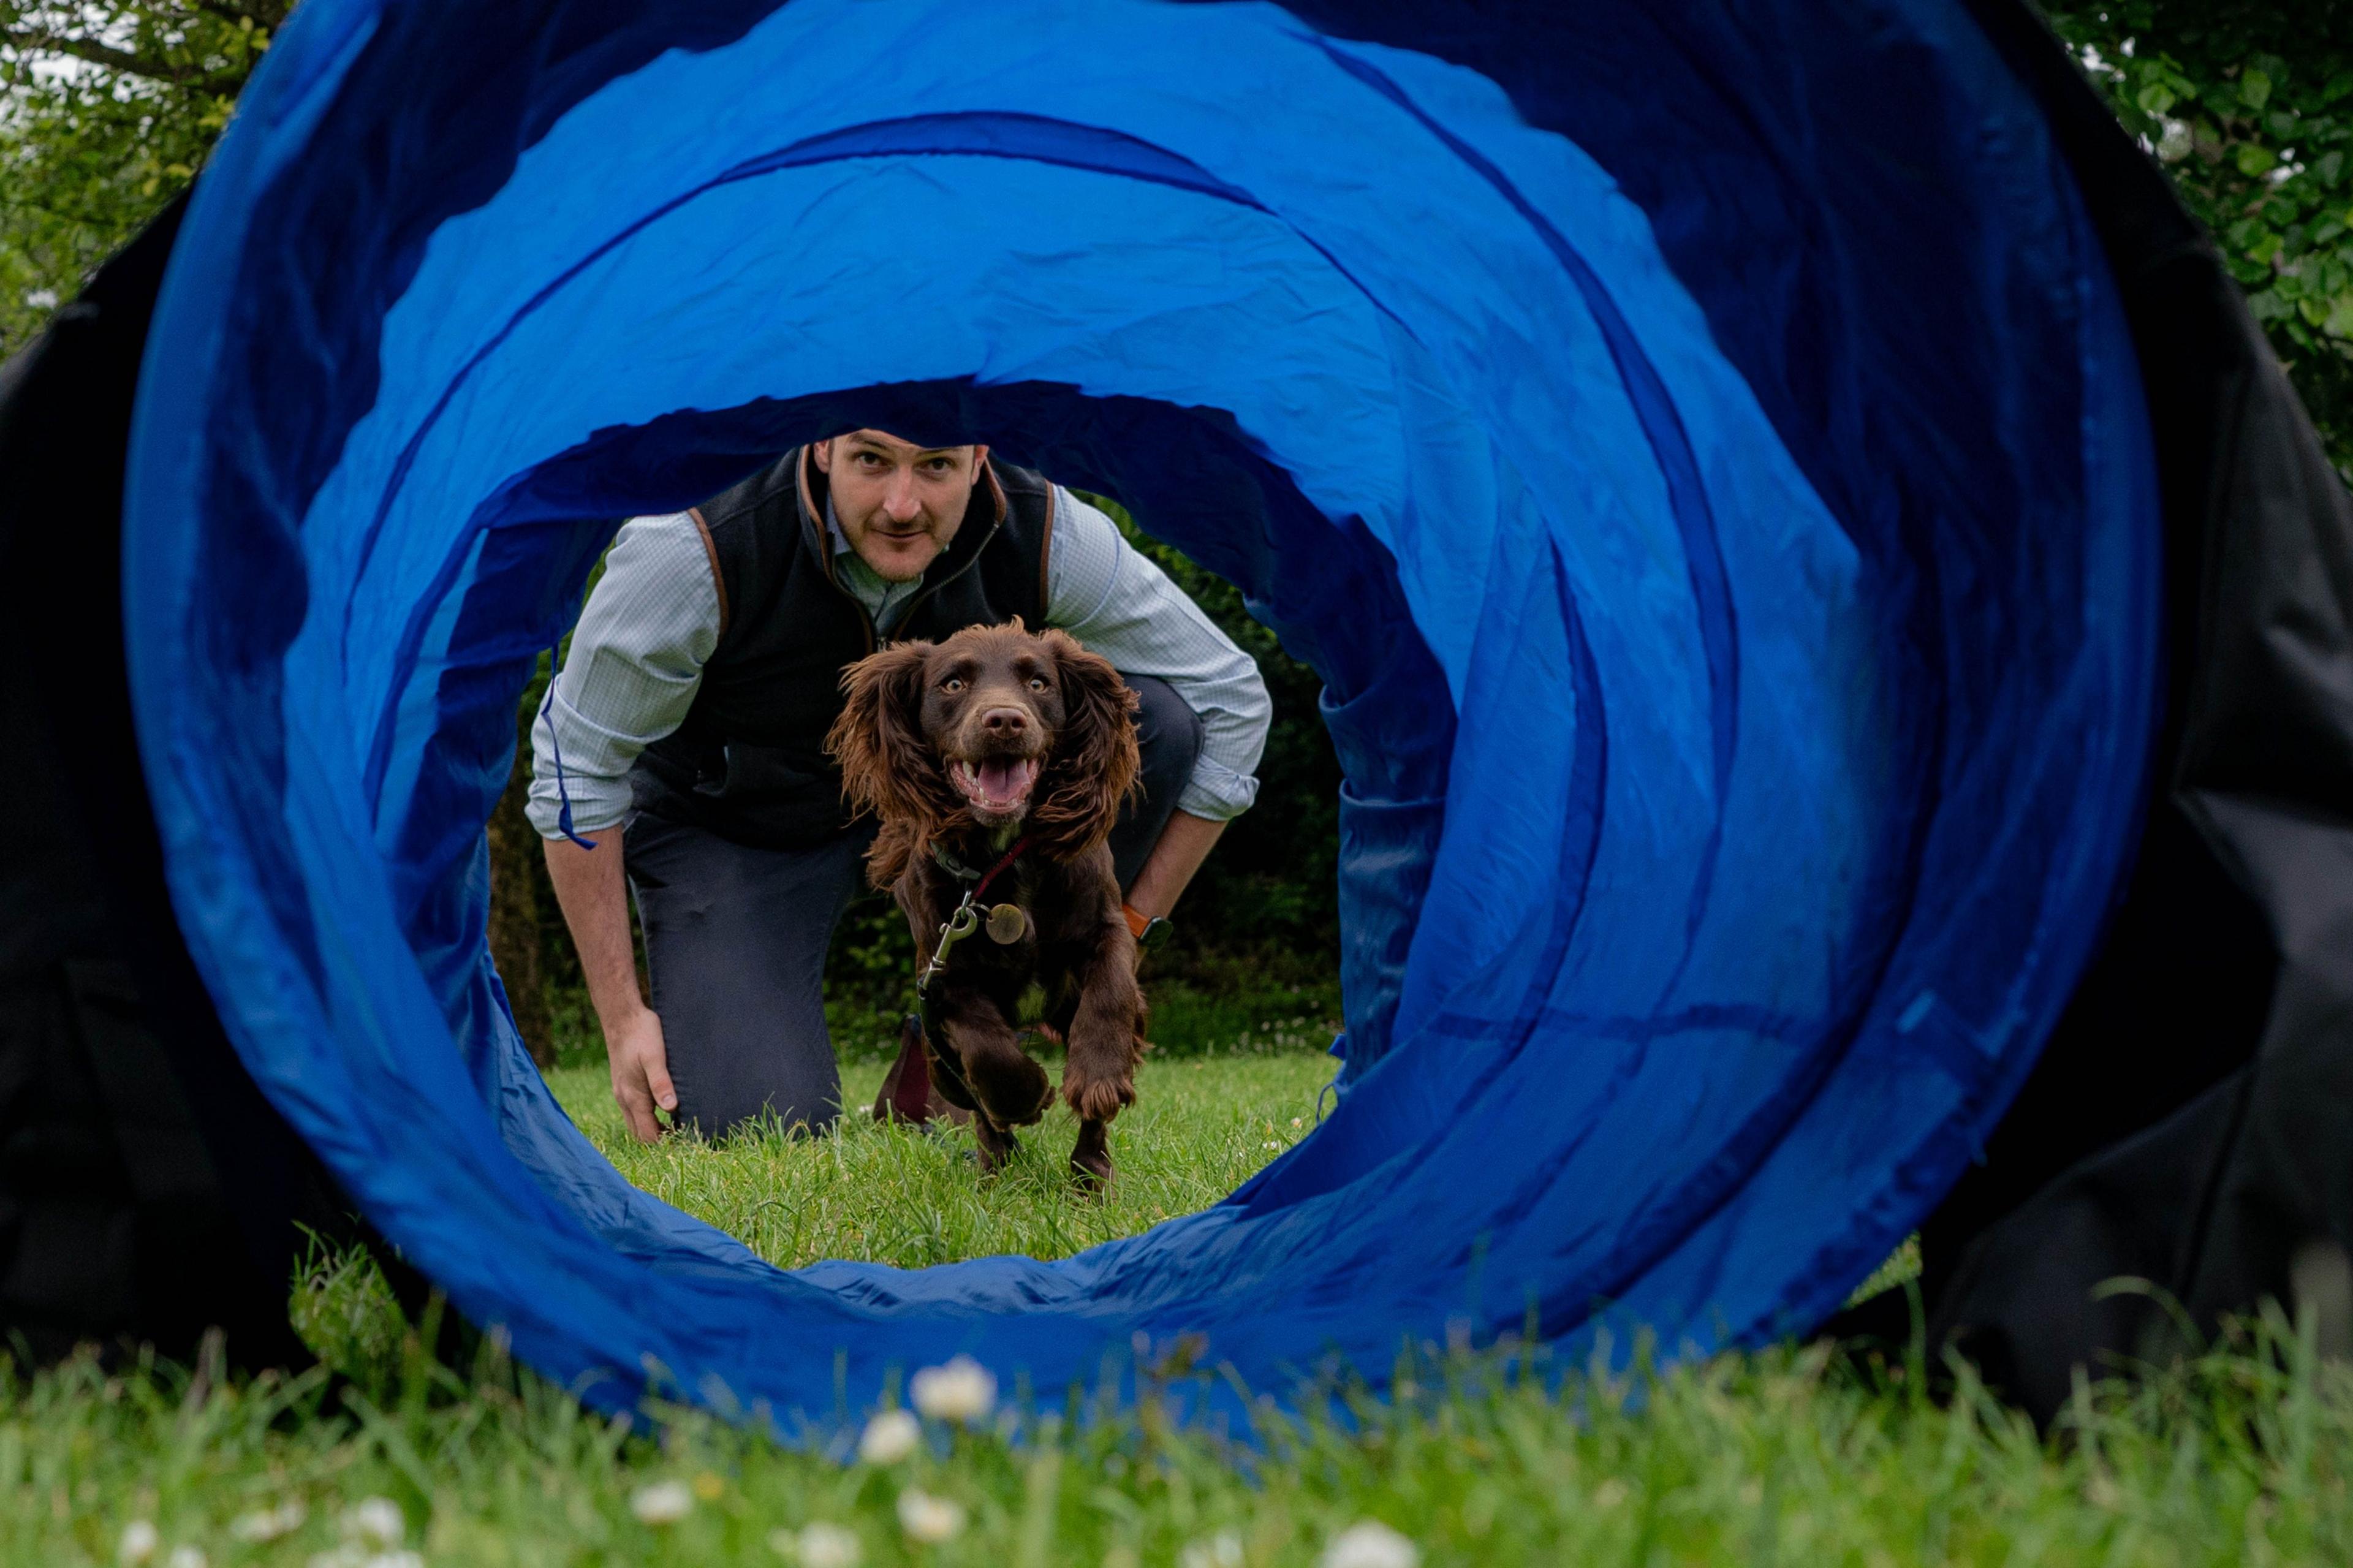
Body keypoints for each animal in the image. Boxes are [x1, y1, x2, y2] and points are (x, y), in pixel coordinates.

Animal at [828, 616, 1148, 1177]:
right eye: (953, 683)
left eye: (1039, 683)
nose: (1004, 720)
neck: (1004, 854)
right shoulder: (941, 975)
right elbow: (986, 1049)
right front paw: (1026, 1095)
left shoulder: (1107, 927)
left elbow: (1110, 995)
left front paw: (1098, 1078)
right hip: (935, 1059)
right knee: (974, 1102)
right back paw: (996, 1167)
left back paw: (1090, 1177)